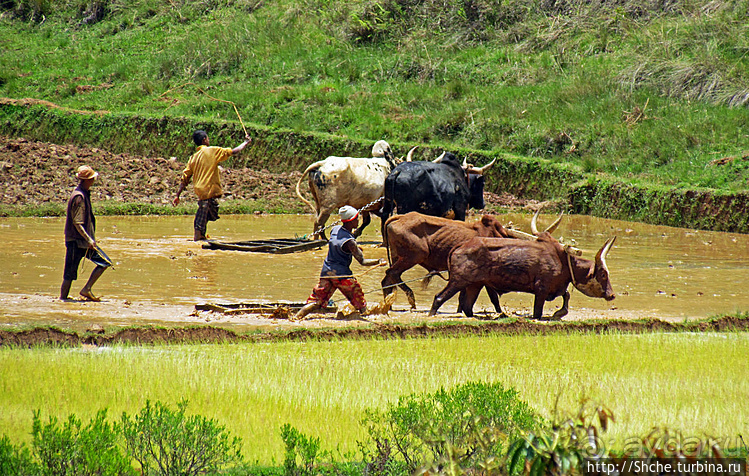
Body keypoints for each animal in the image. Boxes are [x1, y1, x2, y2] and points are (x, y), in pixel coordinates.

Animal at [430, 233, 616, 320]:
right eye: (603, 274)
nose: (612, 295)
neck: (562, 260)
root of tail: (462, 245)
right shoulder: (541, 290)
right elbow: (537, 313)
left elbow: (566, 294)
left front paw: (560, 312)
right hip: (458, 281)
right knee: (439, 297)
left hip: (474, 285)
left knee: (467, 307)